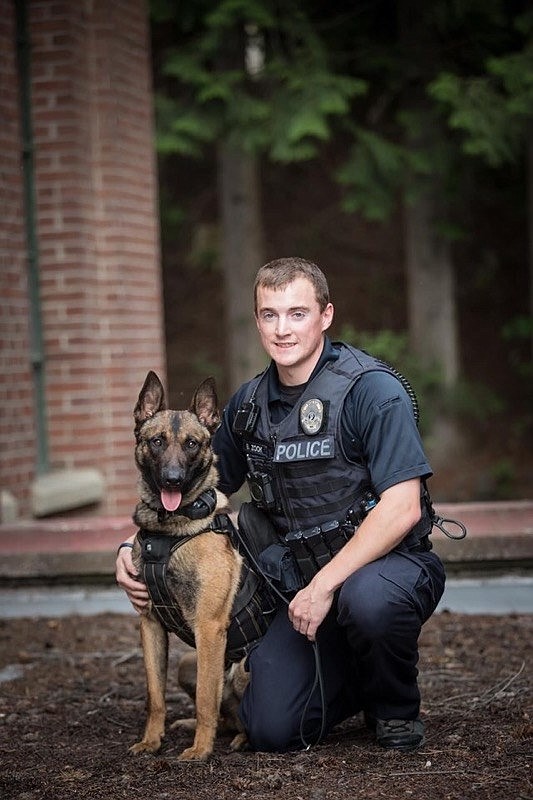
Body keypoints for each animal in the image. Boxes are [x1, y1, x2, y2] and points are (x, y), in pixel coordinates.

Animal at [131, 374, 251, 764]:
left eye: (192, 444)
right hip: (188, 662)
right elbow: (155, 696)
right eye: (156, 441)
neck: (169, 532)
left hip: (239, 669)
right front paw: (151, 741)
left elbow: (204, 701)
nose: (172, 479)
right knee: (228, 713)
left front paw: (201, 749)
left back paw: (241, 738)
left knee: (238, 712)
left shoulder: (209, 628)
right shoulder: (150, 624)